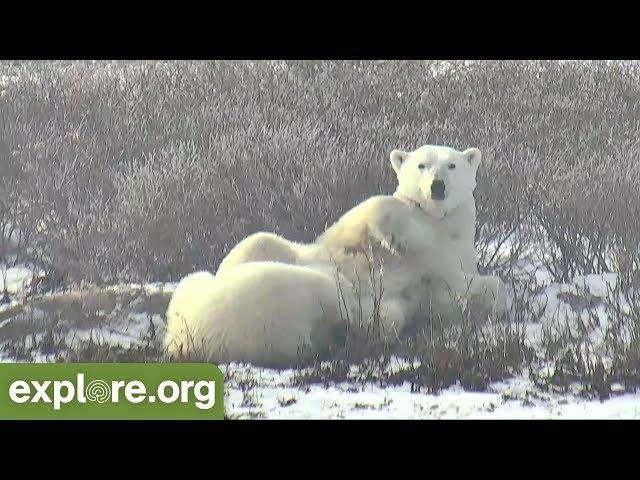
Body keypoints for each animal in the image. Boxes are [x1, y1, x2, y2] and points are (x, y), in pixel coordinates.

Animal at [165, 144, 510, 366]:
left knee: (351, 306)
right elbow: (366, 214)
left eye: (452, 165)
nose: (437, 187)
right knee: (258, 244)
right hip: (226, 279)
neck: (436, 225)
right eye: (421, 165)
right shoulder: (345, 236)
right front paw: (393, 237)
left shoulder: (452, 260)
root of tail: (186, 341)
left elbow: (472, 292)